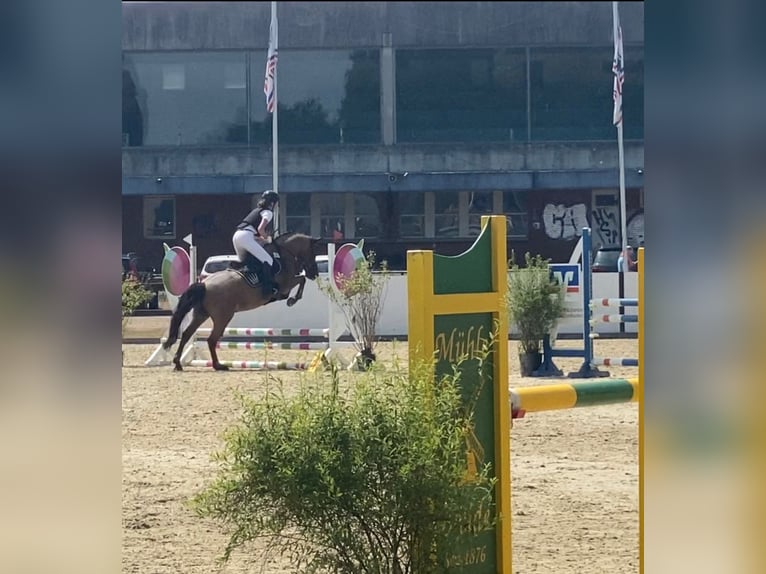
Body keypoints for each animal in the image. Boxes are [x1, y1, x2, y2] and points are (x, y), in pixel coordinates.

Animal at [164, 234, 322, 374]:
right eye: (313, 253)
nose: (314, 273)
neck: (283, 254)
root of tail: (204, 284)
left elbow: (302, 279)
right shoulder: (285, 287)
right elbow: (301, 280)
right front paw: (292, 300)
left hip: (201, 315)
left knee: (186, 334)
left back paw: (178, 363)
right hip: (223, 317)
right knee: (211, 339)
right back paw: (218, 365)